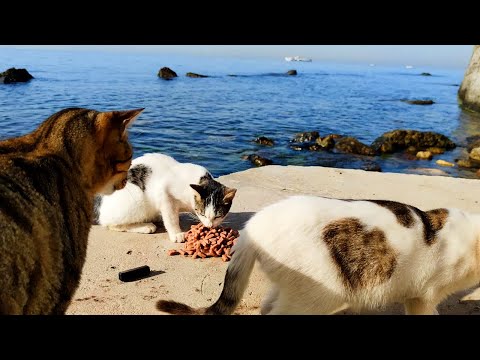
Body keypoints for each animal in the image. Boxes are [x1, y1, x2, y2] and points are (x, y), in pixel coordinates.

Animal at [93, 153, 237, 243]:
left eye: (218, 216)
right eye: (203, 213)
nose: (210, 226)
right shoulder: (165, 195)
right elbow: (171, 218)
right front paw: (176, 234)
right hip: (136, 199)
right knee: (111, 224)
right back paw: (145, 226)